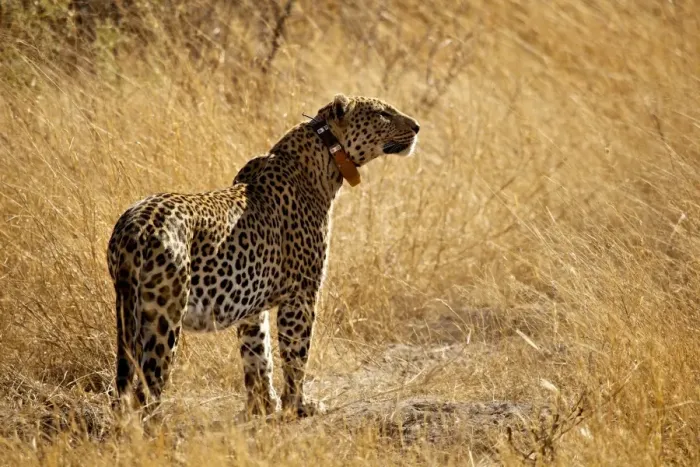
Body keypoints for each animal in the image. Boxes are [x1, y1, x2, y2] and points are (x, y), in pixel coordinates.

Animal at [107, 94, 420, 419]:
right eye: (382, 114)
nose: (417, 127)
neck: (326, 158)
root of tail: (133, 227)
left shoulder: (251, 306)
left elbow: (258, 354)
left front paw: (263, 406)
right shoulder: (302, 294)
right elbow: (296, 354)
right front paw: (297, 406)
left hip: (128, 310)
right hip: (163, 314)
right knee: (147, 385)